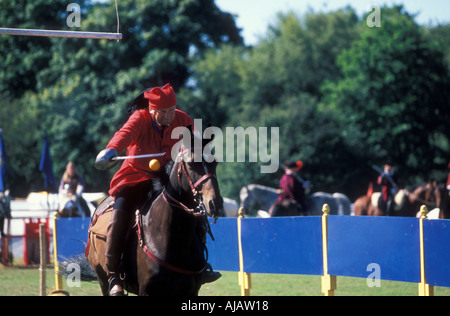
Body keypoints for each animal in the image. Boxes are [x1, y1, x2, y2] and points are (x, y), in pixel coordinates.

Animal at [86, 132, 223, 296]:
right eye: (190, 164)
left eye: (215, 163)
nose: (215, 203)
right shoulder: (147, 290)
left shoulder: (190, 291)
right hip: (102, 277)